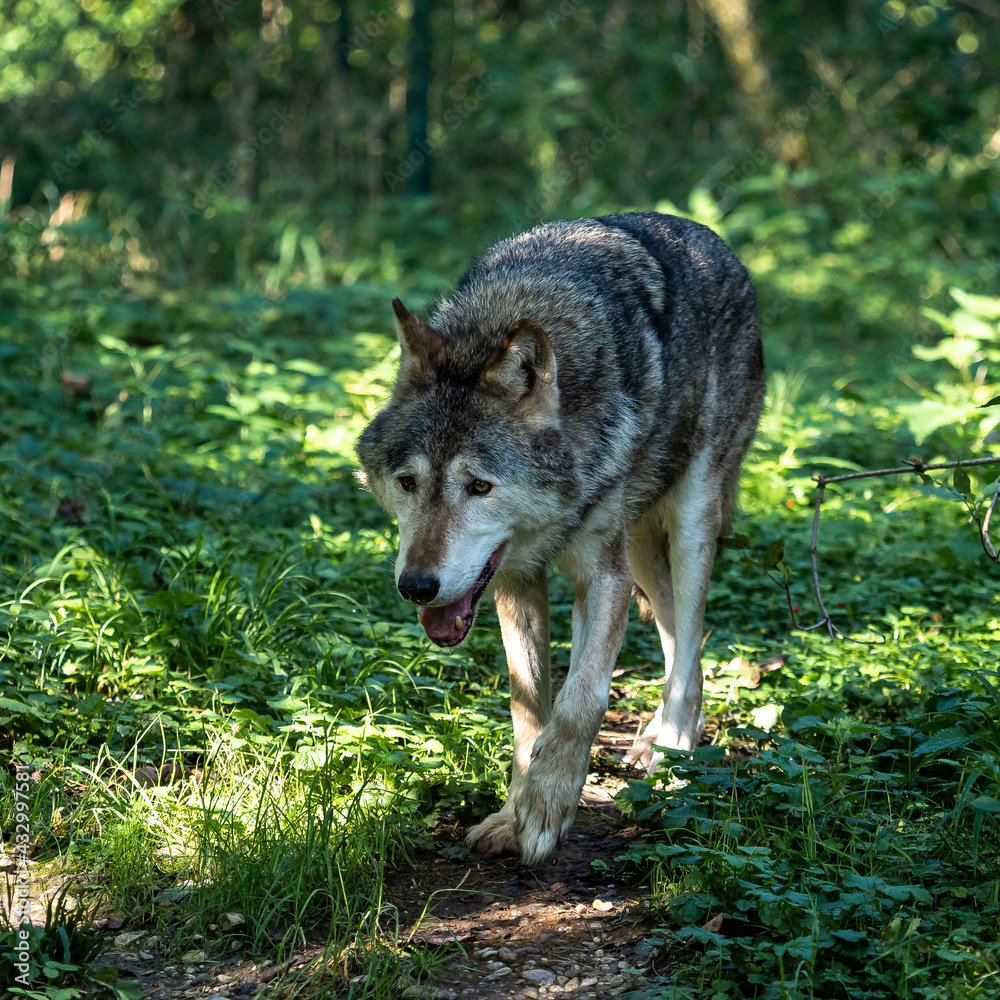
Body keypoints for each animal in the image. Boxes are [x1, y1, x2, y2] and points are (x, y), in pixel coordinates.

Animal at [356, 212, 764, 865]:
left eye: (479, 486)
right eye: (408, 482)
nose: (417, 586)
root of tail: (708, 236)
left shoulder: (604, 577)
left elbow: (580, 701)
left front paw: (547, 806)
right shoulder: (517, 579)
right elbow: (528, 709)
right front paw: (513, 813)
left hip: (690, 520)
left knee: (692, 639)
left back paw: (675, 751)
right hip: (640, 547)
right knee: (678, 634)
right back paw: (659, 741)